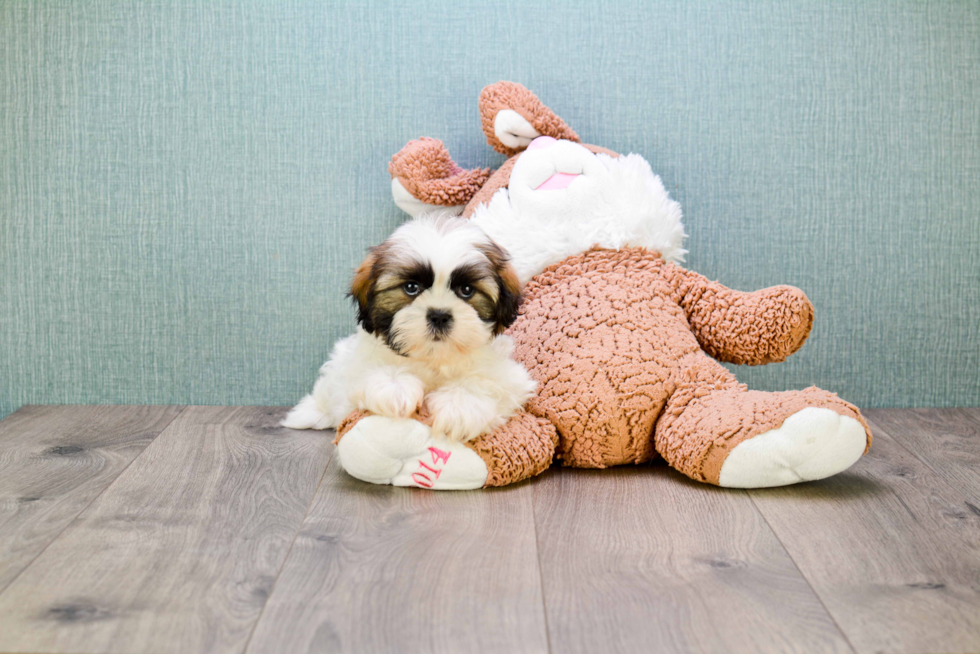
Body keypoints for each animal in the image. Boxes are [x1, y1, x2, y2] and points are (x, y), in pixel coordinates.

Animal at [282, 218, 536, 444]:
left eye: (466, 290)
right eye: (411, 287)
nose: (439, 315)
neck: (433, 358)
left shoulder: (510, 376)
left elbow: (483, 382)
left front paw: (459, 407)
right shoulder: (356, 363)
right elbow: (370, 370)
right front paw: (395, 389)